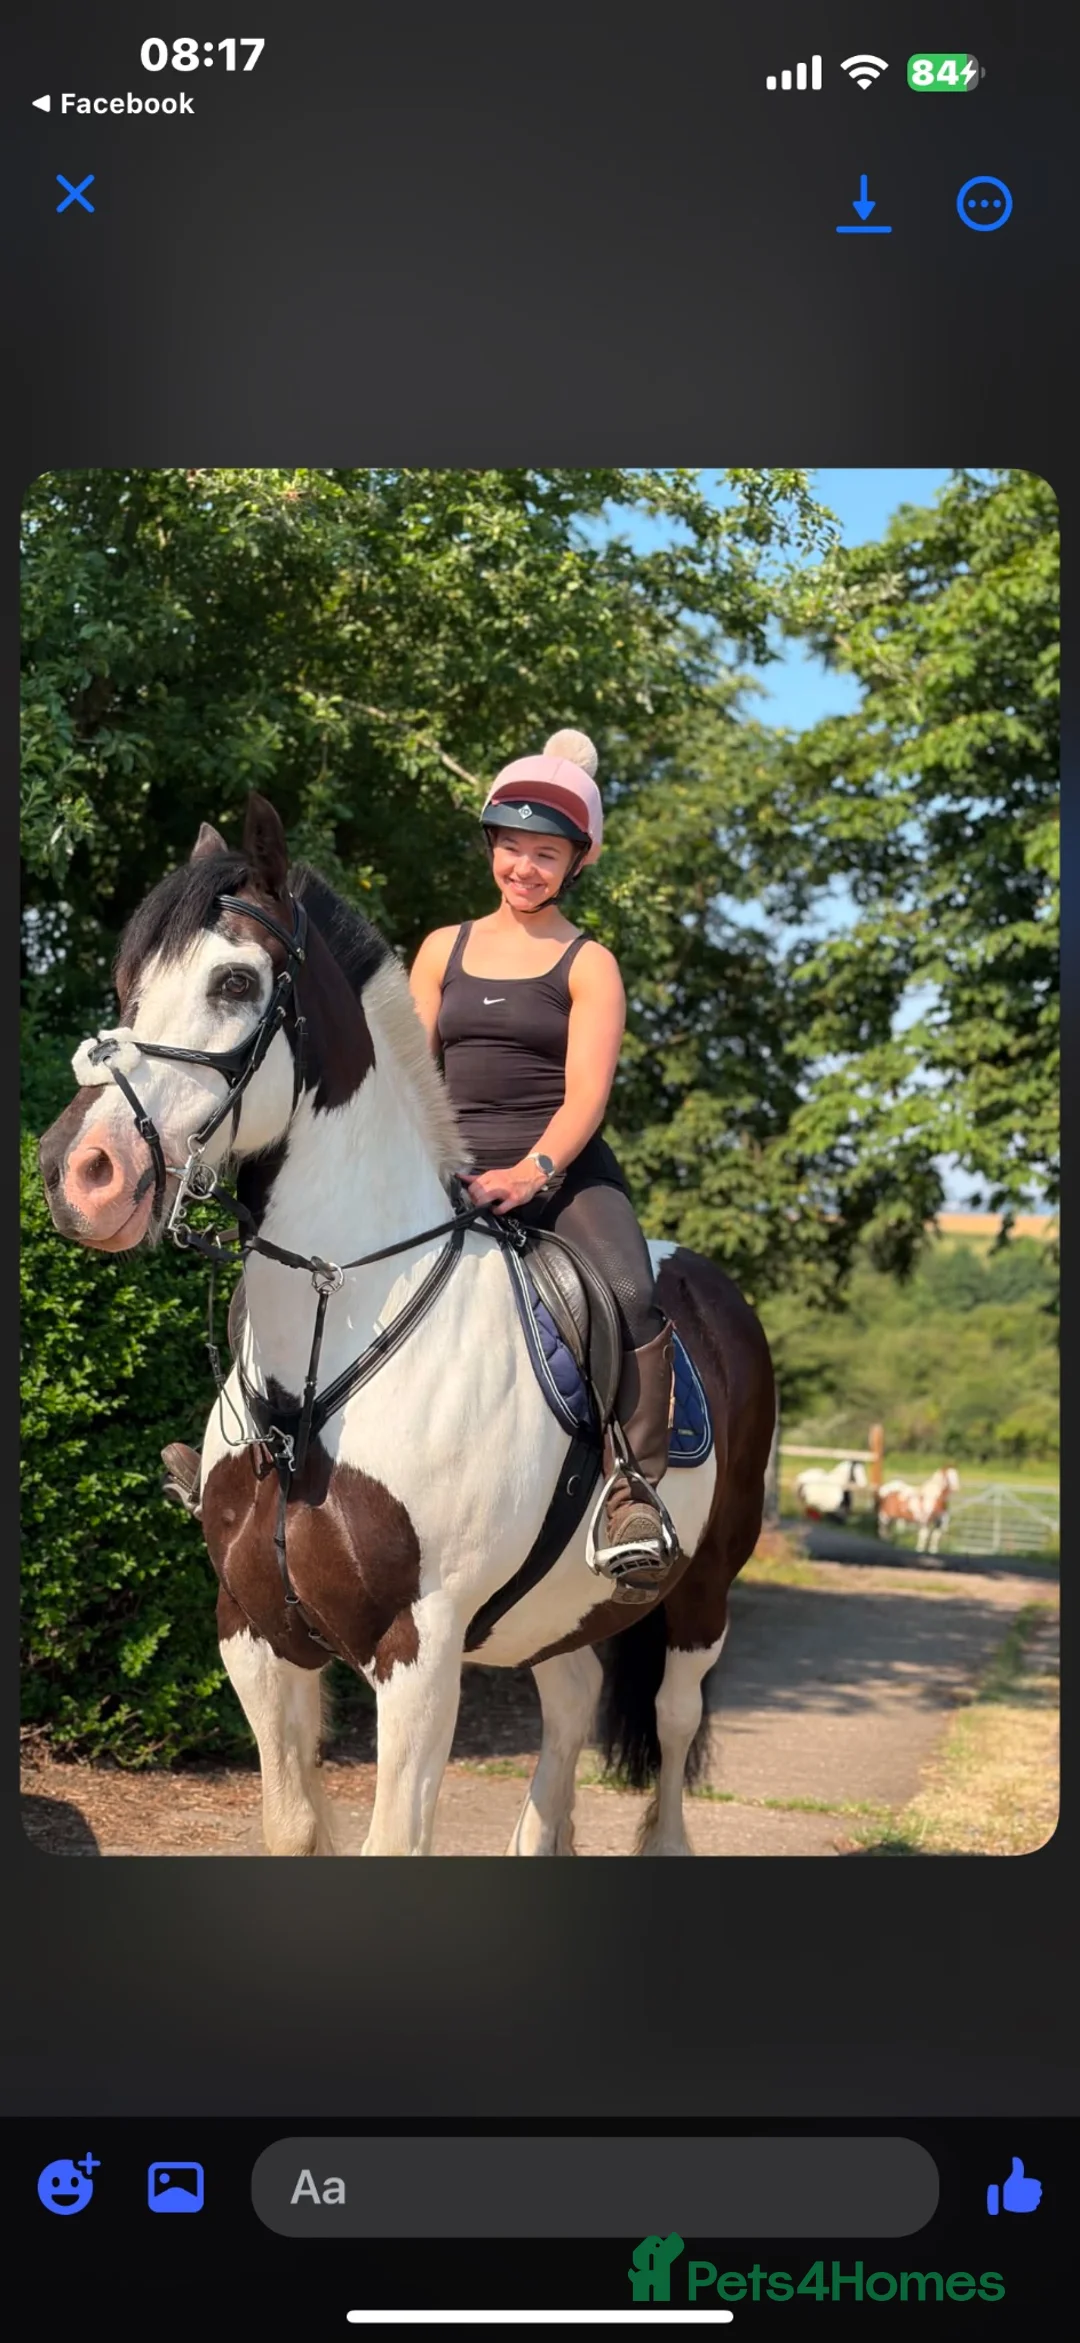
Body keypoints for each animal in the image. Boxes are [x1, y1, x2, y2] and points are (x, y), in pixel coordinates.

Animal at [37, 793, 776, 1858]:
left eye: (234, 981)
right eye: (130, 987)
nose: (81, 1175)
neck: (325, 1349)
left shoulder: (418, 1648)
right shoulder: (253, 1633)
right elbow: (295, 1825)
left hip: (703, 1587)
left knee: (673, 1726)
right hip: (559, 1609)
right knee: (570, 1700)